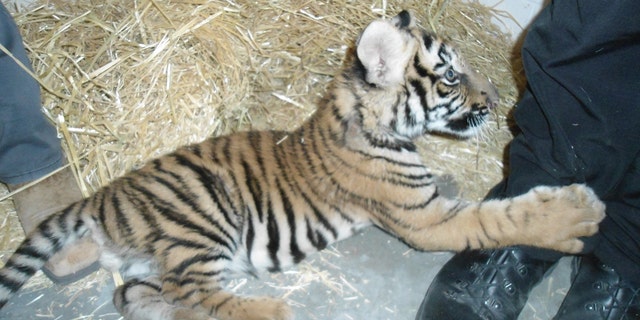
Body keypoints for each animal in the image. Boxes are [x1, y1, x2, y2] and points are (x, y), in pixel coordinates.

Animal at [0, 10, 604, 320]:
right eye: (451, 76)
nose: (498, 99)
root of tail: (104, 196)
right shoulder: (425, 220)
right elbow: (499, 218)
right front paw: (576, 214)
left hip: (160, 260)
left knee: (136, 295)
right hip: (204, 217)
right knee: (196, 298)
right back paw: (274, 312)